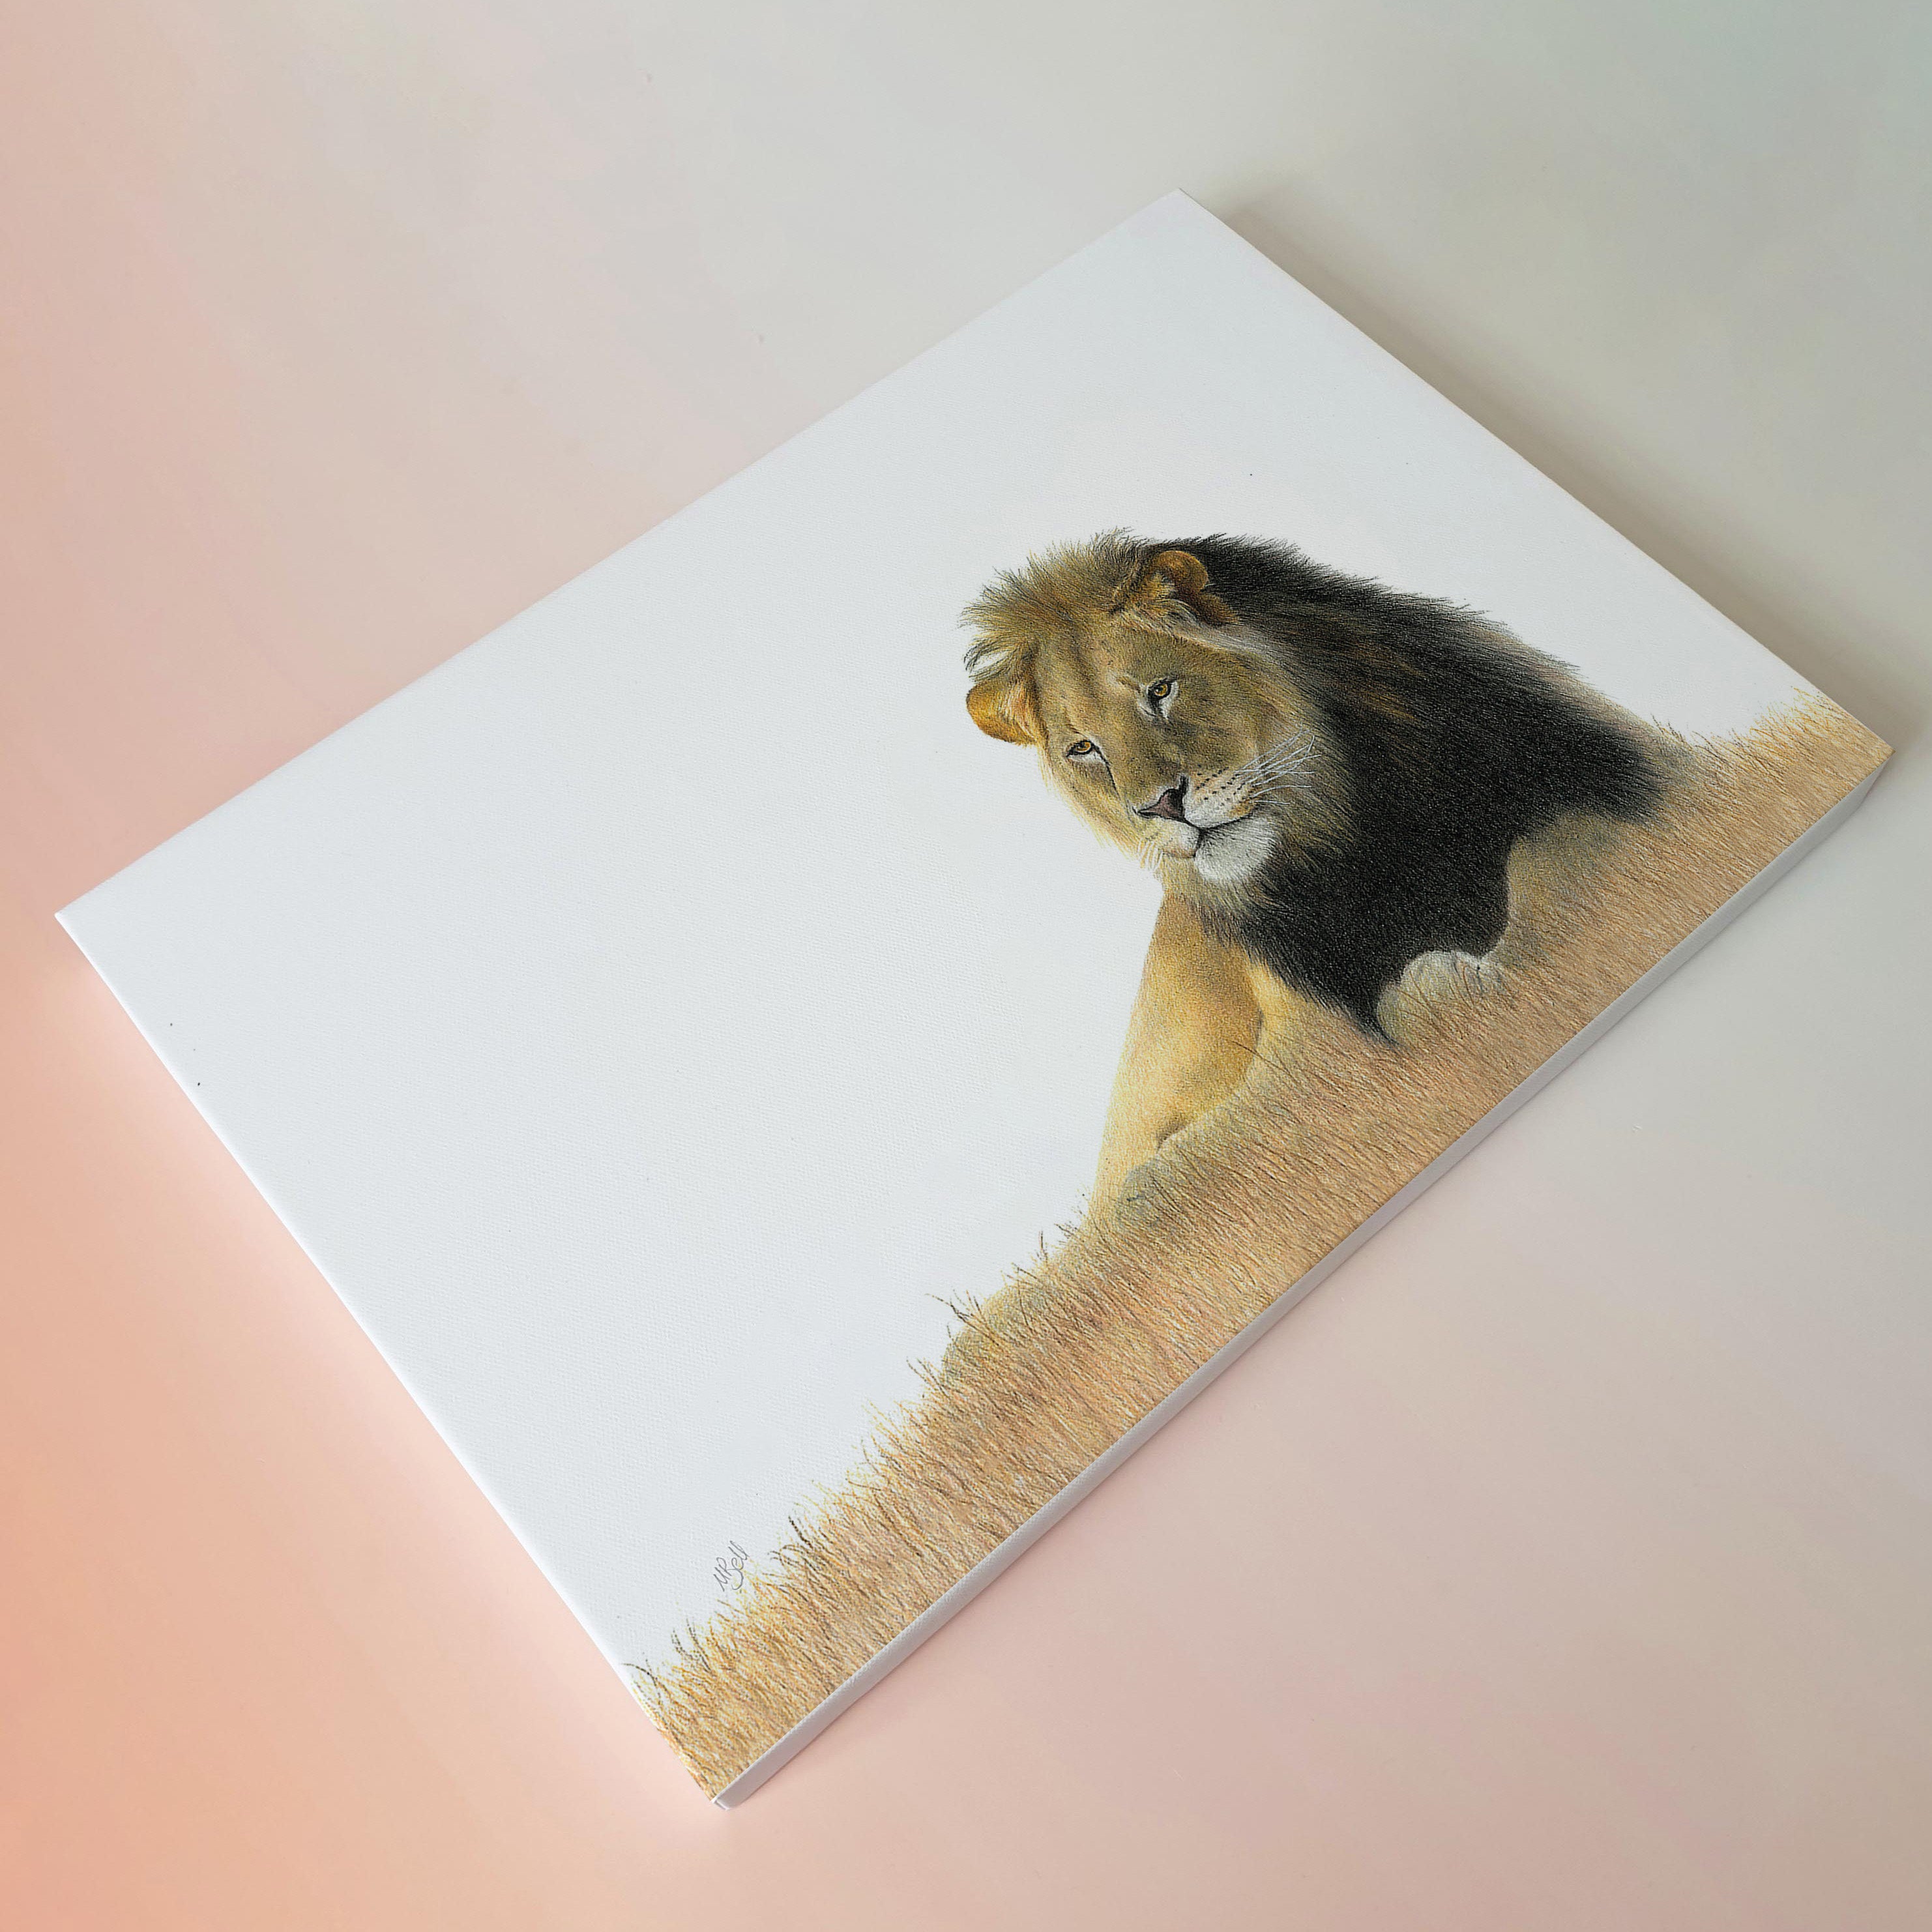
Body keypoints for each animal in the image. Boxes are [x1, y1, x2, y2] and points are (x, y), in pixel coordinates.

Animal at [962, 531, 1673, 1206]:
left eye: (1160, 691)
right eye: (1084, 749)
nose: (1159, 806)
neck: (1345, 833)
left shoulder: (1607, 780)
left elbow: (1557, 866)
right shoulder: (1306, 1028)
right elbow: (1260, 1119)